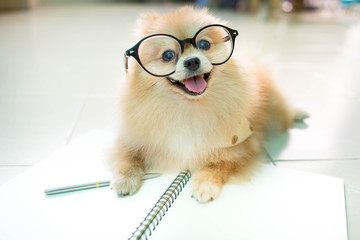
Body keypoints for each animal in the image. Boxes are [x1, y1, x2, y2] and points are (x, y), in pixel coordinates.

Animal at [109, 6, 306, 202]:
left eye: (204, 45)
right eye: (167, 55)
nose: (192, 61)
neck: (189, 106)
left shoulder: (239, 147)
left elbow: (220, 164)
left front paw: (205, 184)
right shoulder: (134, 136)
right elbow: (127, 155)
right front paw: (124, 179)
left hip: (277, 116)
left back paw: (301, 113)